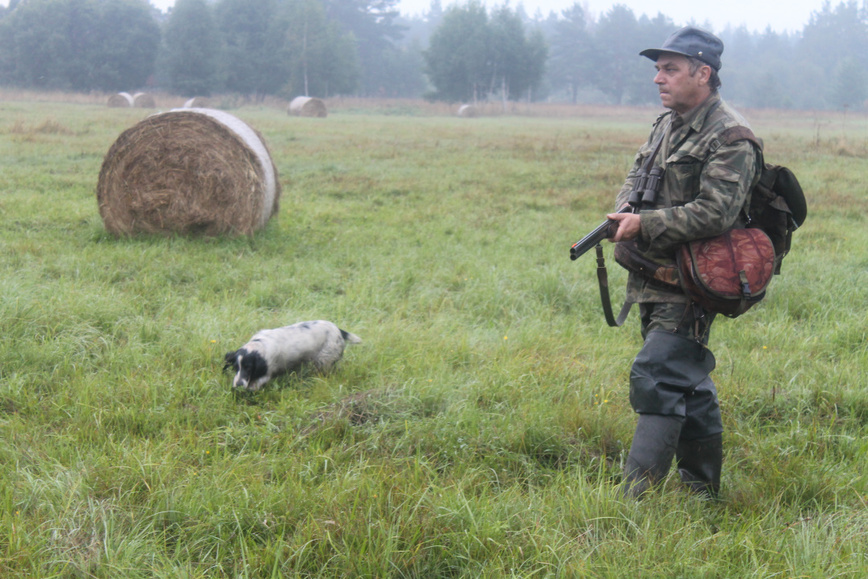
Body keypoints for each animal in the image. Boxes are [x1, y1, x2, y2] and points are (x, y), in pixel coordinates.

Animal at [225, 320, 362, 392]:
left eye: (248, 368)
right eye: (236, 367)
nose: (238, 386)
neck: (260, 345)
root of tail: (338, 330)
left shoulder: (266, 372)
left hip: (324, 360)